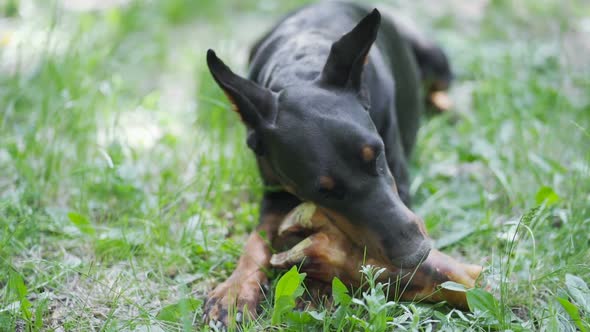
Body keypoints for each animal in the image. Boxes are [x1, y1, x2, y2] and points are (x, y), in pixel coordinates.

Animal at [204, 0, 454, 326]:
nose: (417, 254)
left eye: (377, 154)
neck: (301, 66)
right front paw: (234, 292)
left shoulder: (399, 180)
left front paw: (319, 283)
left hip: (435, 57)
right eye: (324, 191)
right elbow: (256, 240)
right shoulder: (274, 188)